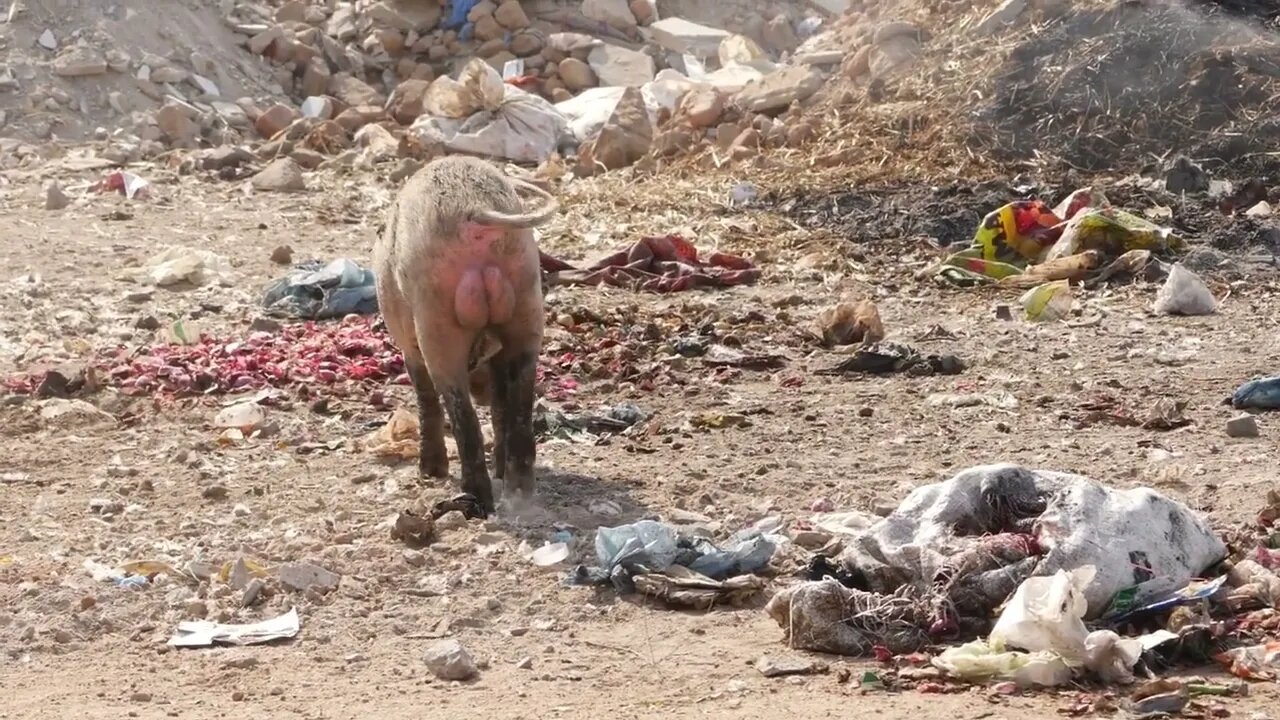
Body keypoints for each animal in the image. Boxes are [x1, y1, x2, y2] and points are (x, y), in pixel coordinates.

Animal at [376, 156, 563, 515]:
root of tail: (474, 208)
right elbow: (502, 403)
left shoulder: (409, 344)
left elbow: (424, 393)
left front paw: (430, 473)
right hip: (526, 295)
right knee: (520, 397)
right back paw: (520, 493)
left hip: (435, 316)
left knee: (459, 407)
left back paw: (475, 501)